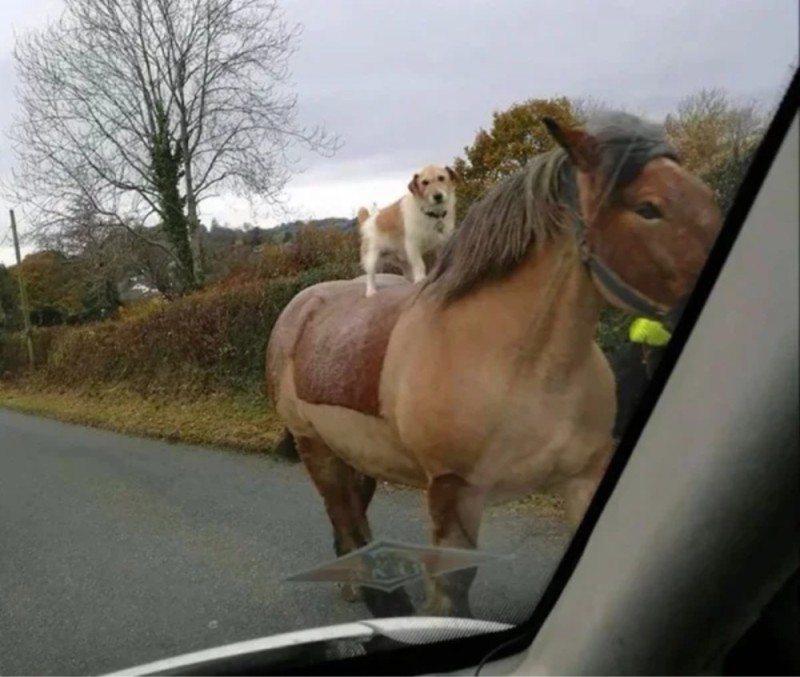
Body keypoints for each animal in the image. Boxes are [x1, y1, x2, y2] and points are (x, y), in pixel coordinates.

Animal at [356, 164, 456, 296]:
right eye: (424, 182)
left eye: (441, 178)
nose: (437, 196)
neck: (431, 214)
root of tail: (367, 220)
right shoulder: (413, 245)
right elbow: (419, 264)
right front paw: (420, 279)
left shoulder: (442, 243)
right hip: (372, 257)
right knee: (370, 276)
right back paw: (371, 291)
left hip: (402, 260)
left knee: (407, 275)